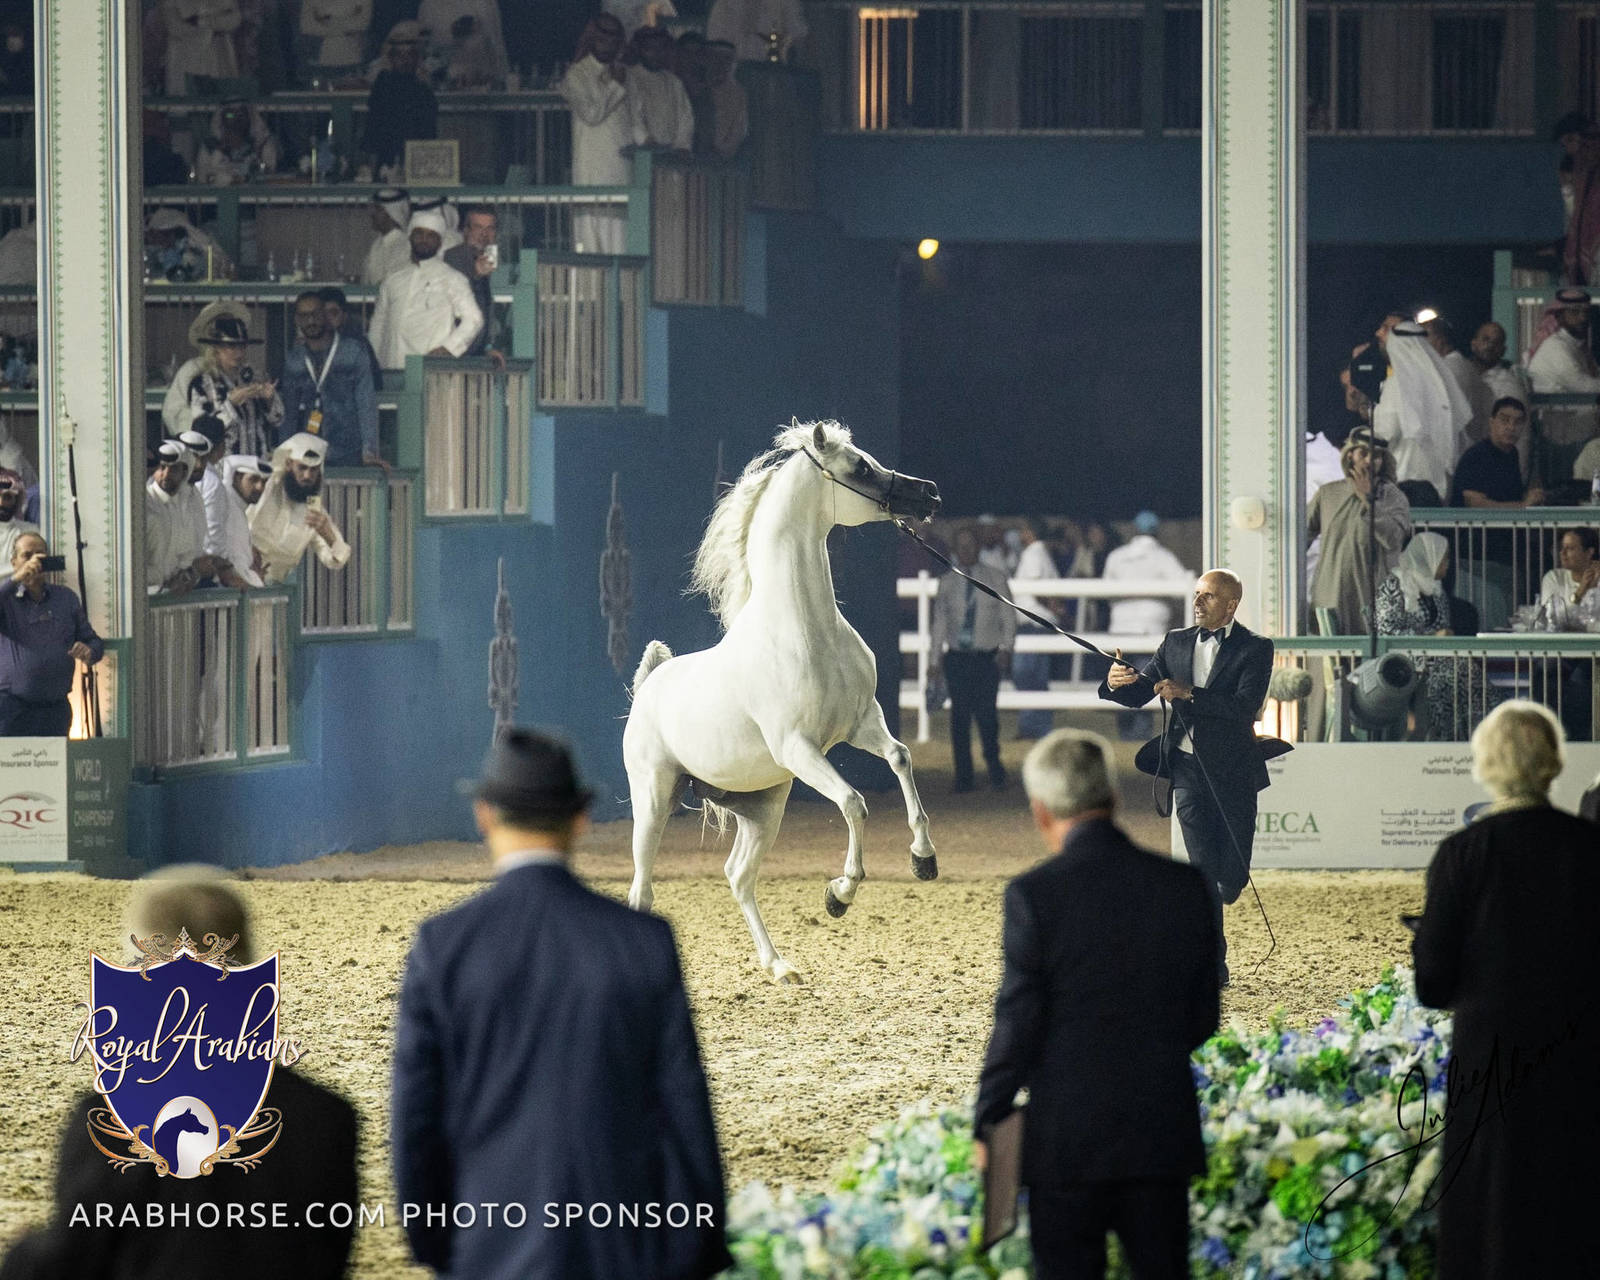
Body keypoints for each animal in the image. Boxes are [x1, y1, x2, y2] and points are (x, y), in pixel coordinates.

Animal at [625, 420, 942, 983]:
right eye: (860, 466)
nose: (928, 493)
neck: (804, 629)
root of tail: (650, 683)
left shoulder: (862, 723)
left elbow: (901, 757)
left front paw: (922, 859)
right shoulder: (799, 748)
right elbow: (853, 803)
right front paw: (840, 894)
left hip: (763, 807)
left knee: (738, 876)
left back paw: (779, 967)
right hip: (654, 800)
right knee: (642, 890)